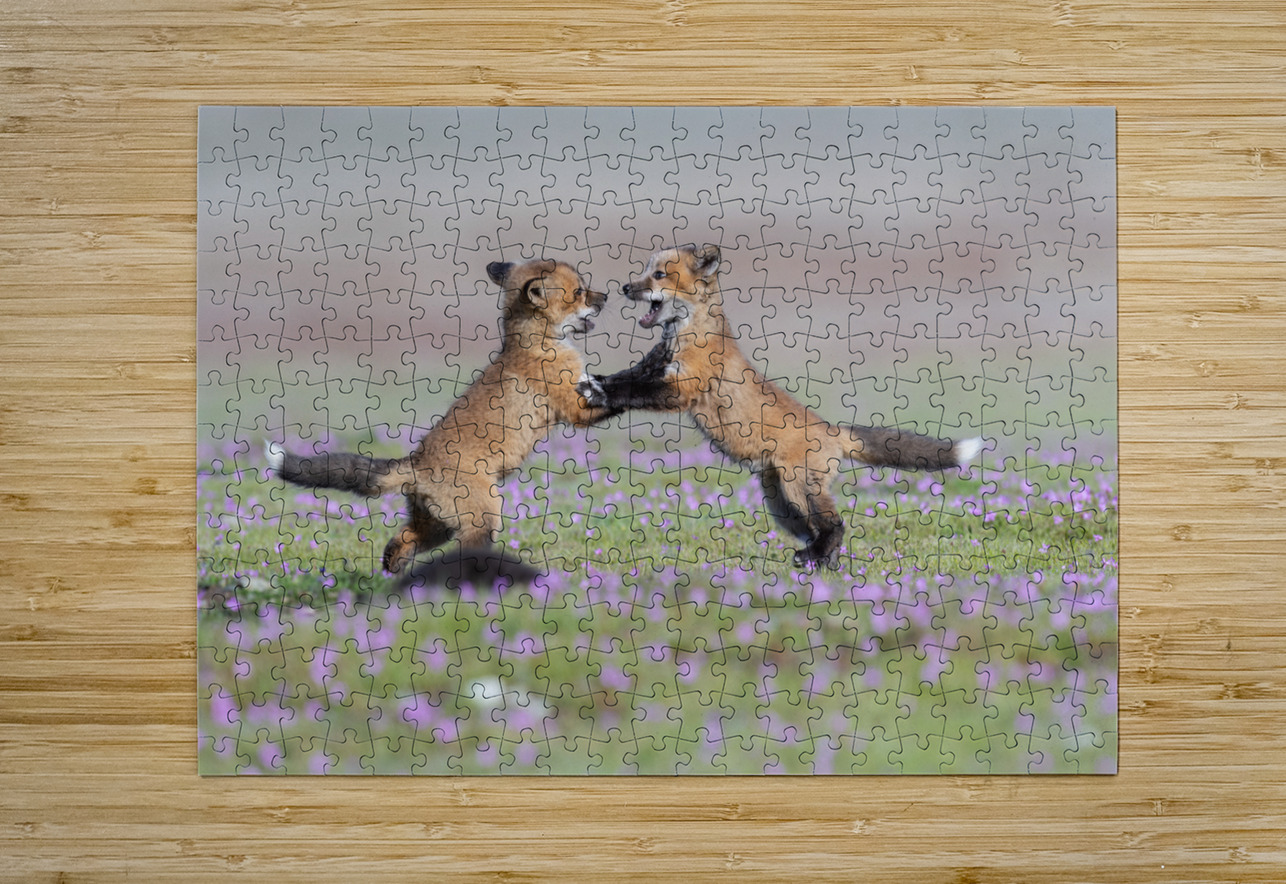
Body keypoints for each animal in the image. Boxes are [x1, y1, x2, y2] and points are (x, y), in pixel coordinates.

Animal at [269, 258, 670, 585]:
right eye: (578, 292)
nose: (608, 295)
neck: (536, 342)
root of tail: (415, 464)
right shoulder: (574, 408)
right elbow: (614, 396)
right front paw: (648, 383)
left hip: (437, 526)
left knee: (400, 542)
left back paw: (394, 575)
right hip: (481, 517)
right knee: (464, 551)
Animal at [579, 244, 983, 569]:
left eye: (659, 275)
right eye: (645, 270)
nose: (625, 288)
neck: (686, 333)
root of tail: (833, 430)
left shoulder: (682, 388)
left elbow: (633, 391)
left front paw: (601, 395)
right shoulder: (653, 367)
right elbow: (623, 379)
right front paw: (593, 383)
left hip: (797, 488)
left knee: (836, 524)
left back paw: (815, 558)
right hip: (781, 504)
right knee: (818, 531)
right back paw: (822, 561)